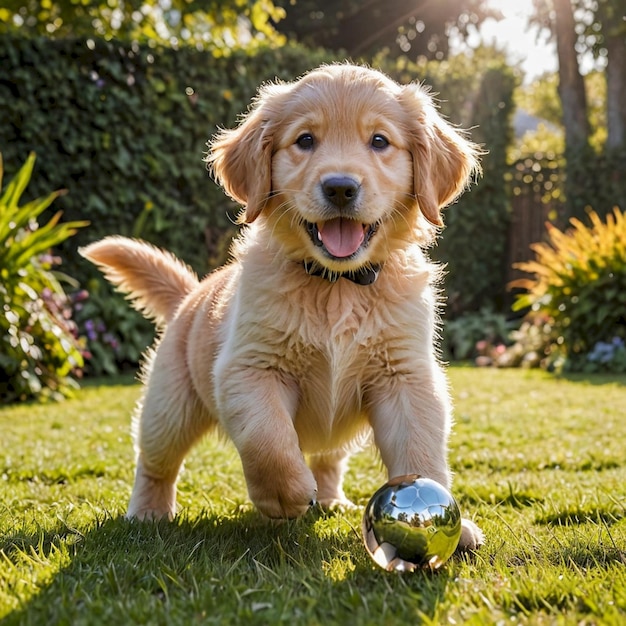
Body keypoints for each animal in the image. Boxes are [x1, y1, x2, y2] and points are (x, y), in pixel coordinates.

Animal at [80, 63, 482, 548]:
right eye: (305, 140)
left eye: (380, 141)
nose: (341, 188)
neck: (337, 285)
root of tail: (189, 297)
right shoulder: (248, 368)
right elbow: (266, 437)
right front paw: (284, 495)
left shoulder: (406, 376)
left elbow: (420, 447)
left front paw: (446, 525)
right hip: (168, 405)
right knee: (156, 461)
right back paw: (148, 512)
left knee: (328, 458)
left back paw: (330, 500)